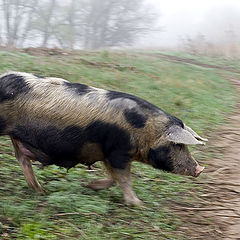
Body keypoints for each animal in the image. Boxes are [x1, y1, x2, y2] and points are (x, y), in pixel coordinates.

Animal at [0, 71, 207, 206]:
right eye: (178, 145)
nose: (200, 169)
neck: (145, 130)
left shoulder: (108, 153)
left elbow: (113, 179)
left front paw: (89, 185)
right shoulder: (118, 152)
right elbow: (123, 179)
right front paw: (138, 204)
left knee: (22, 158)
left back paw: (40, 190)